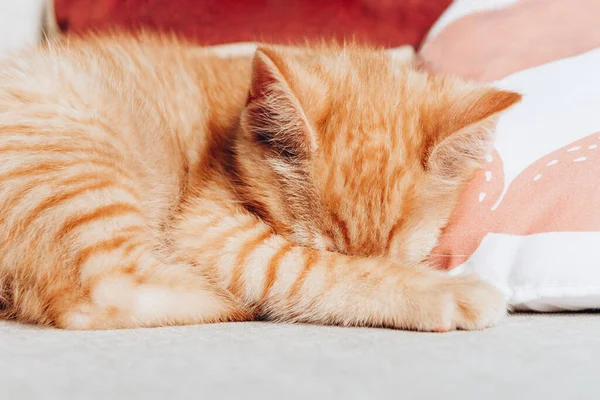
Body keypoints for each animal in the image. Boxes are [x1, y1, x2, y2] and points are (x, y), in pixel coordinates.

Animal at [0, 32, 520, 330]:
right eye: (328, 247)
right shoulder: (205, 226)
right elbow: (304, 269)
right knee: (101, 293)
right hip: (79, 165)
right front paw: (448, 291)